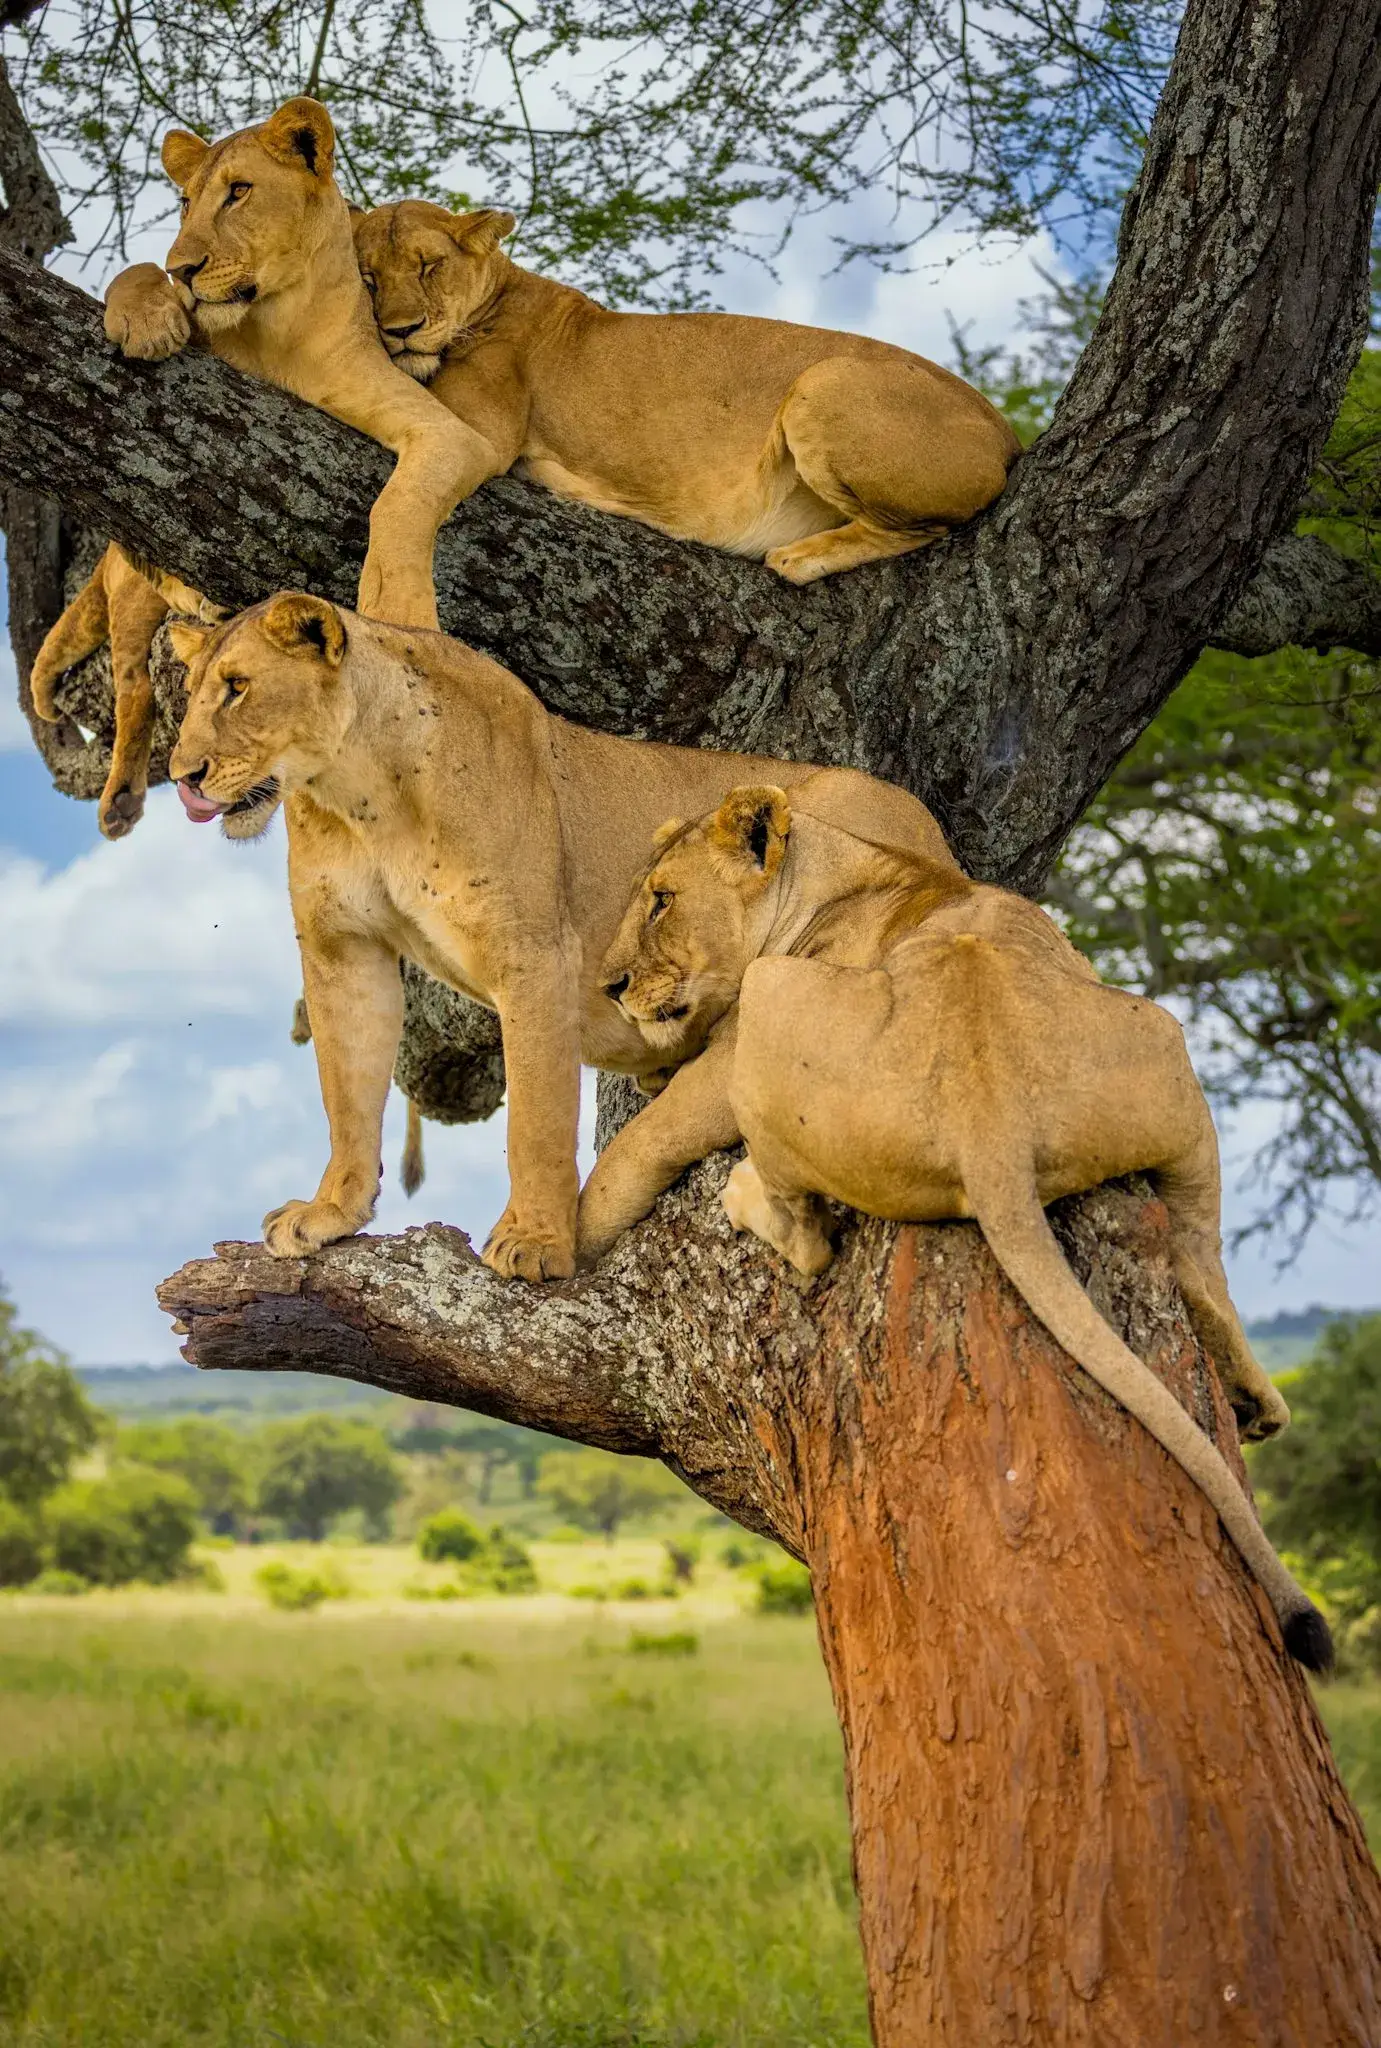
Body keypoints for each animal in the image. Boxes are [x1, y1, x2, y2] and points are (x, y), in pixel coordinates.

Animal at [32, 98, 496, 836]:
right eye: (185, 202)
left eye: (240, 191)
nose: (186, 268)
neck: (273, 323)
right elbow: (132, 270)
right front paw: (151, 316)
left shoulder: (447, 432)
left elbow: (397, 504)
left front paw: (397, 608)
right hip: (128, 576)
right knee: (132, 676)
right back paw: (123, 791)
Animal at [164, 592, 953, 1282]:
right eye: (194, 693)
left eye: (237, 688)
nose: (182, 776)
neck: (361, 797)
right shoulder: (342, 948)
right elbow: (347, 1093)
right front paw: (332, 1212)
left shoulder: (534, 954)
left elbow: (538, 1117)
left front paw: (540, 1243)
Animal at [352, 200, 1021, 584]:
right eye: (369, 277)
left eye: (429, 265)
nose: (400, 331)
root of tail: (1006, 431)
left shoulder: (481, 433)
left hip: (823, 379)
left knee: (927, 527)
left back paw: (798, 559)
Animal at [586, 784, 1332, 1672]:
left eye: (661, 898)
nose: (610, 985)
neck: (838, 868)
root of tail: (990, 1105)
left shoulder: (727, 1048)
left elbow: (648, 1135)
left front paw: (553, 1235)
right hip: (1161, 1042)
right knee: (1199, 1255)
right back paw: (1252, 1395)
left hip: (778, 998)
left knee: (807, 1238)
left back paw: (742, 1196)